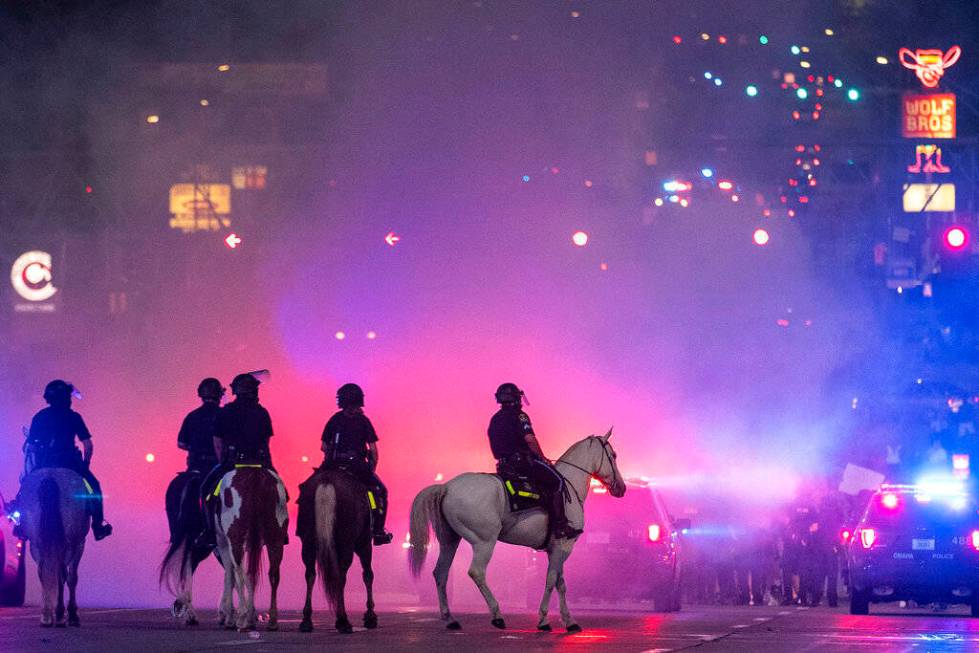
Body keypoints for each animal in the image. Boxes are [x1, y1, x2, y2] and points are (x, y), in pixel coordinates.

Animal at [19, 466, 90, 624]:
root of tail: (50, 477)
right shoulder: (79, 543)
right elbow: (71, 578)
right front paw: (71, 614)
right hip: (70, 543)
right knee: (61, 573)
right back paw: (59, 615)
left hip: (36, 543)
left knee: (42, 571)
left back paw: (46, 615)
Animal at [212, 466, 290, 628]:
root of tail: (255, 475)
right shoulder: (256, 545)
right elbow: (249, 576)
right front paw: (250, 614)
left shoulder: (223, 543)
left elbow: (230, 576)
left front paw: (229, 616)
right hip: (275, 539)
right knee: (273, 574)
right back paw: (272, 620)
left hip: (235, 539)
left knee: (239, 574)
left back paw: (241, 618)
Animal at [296, 468, 378, 632]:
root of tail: (327, 481)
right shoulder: (364, 542)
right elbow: (368, 575)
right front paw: (370, 616)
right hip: (348, 541)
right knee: (341, 576)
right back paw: (343, 620)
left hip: (308, 541)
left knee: (310, 574)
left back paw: (307, 620)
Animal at [408, 428, 624, 632]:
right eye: (613, 455)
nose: (621, 488)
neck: (570, 487)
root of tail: (447, 487)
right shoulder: (564, 546)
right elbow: (551, 580)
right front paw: (544, 620)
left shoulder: (557, 548)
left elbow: (560, 583)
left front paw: (569, 621)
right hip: (484, 542)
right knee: (476, 572)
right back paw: (497, 615)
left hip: (449, 541)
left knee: (440, 574)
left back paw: (450, 619)